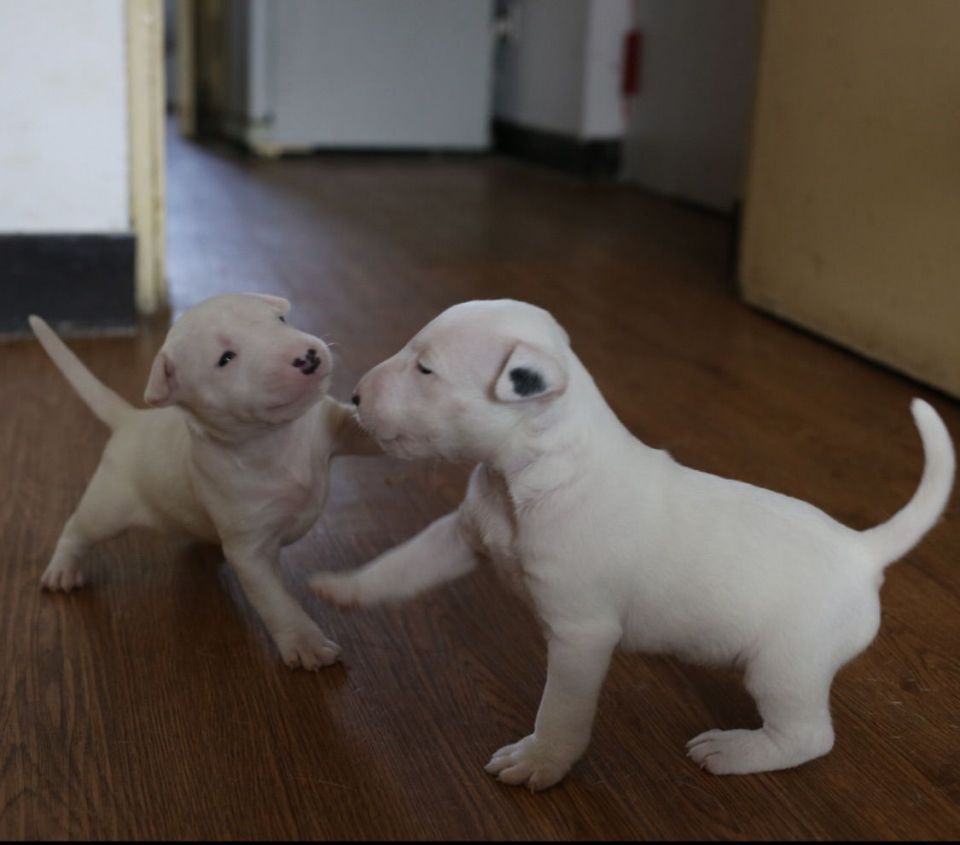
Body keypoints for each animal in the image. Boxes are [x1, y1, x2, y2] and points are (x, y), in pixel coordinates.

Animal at [31, 293, 376, 670]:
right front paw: (305, 643)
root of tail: (131, 421)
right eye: (225, 359)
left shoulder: (332, 428)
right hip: (108, 507)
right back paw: (62, 570)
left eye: (280, 321)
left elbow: (362, 431)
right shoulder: (249, 551)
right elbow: (276, 600)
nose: (308, 356)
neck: (274, 440)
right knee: (77, 529)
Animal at [311, 298, 955, 790]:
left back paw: (734, 752)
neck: (537, 470)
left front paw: (539, 761)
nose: (356, 395)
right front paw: (343, 589)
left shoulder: (580, 635)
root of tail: (863, 550)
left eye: (426, 370)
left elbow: (561, 709)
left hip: (786, 665)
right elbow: (403, 564)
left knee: (808, 735)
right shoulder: (462, 537)